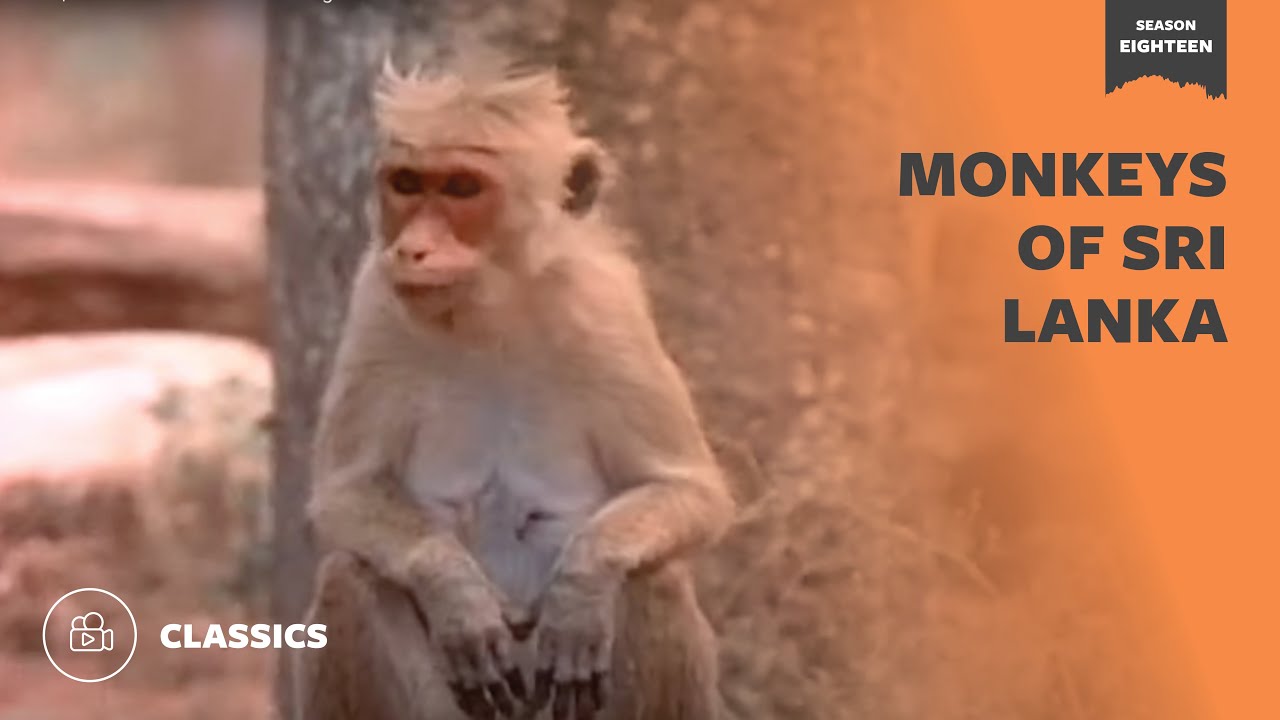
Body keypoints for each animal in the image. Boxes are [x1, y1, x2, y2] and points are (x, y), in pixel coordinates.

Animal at [293, 56, 735, 720]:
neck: (492, 316)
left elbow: (687, 490)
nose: (413, 249)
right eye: (407, 182)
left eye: (461, 188)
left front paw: (581, 589)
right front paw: (456, 596)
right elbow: (345, 493)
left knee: (656, 576)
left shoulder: (611, 311)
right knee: (348, 579)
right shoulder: (376, 299)